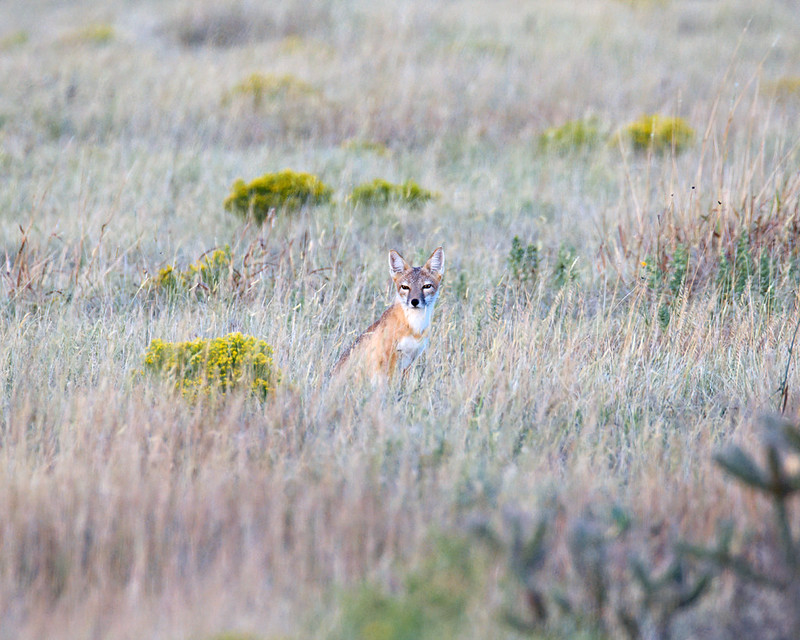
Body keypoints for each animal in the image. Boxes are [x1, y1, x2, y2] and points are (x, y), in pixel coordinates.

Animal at [333, 246, 445, 382]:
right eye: (405, 287)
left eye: (426, 286)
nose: (414, 301)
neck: (415, 326)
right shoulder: (389, 358)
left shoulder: (409, 360)